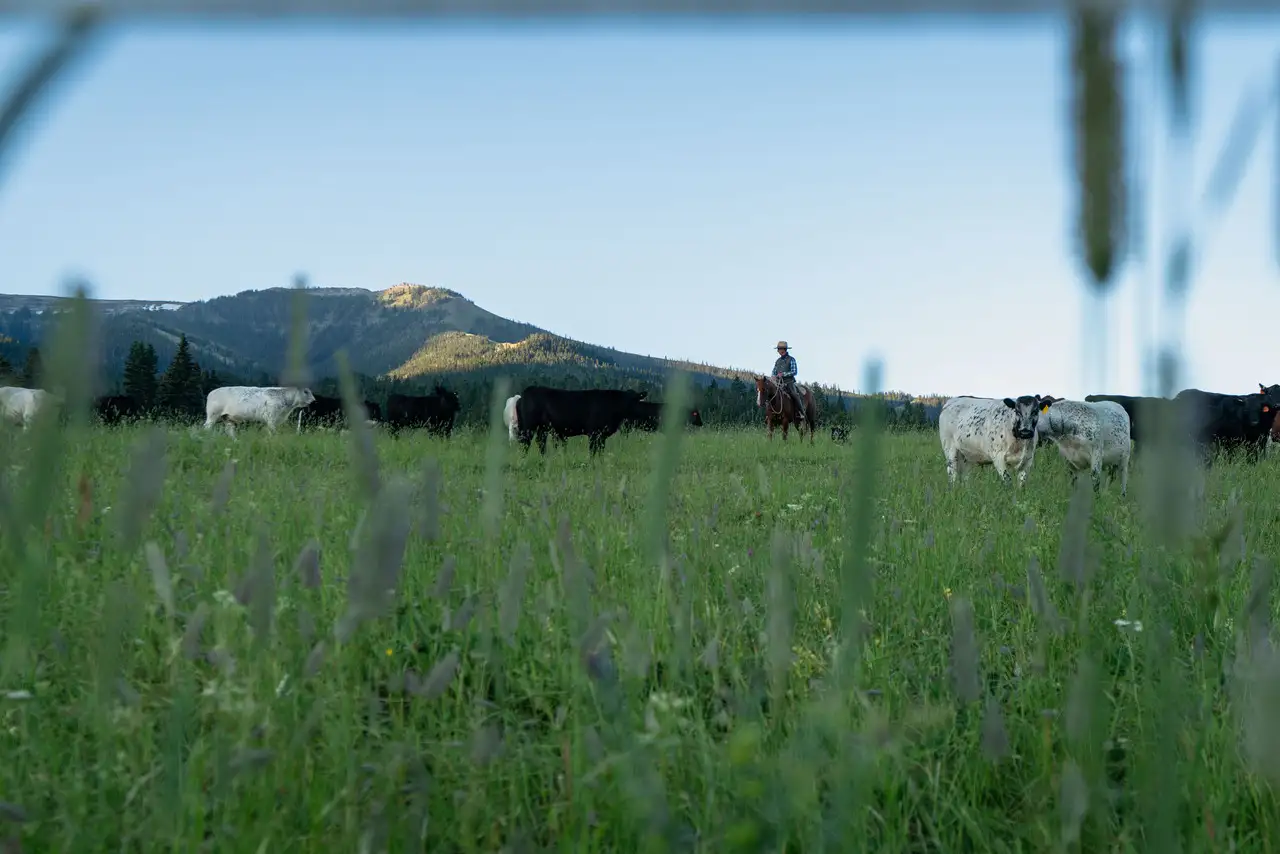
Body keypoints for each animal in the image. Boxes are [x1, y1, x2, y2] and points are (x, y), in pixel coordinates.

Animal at [512, 386, 650, 458]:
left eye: (635, 400)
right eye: (627, 401)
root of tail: (525, 393)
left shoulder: (602, 436)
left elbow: (600, 451)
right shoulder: (594, 433)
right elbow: (592, 451)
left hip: (542, 428)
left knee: (540, 443)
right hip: (528, 427)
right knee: (526, 443)